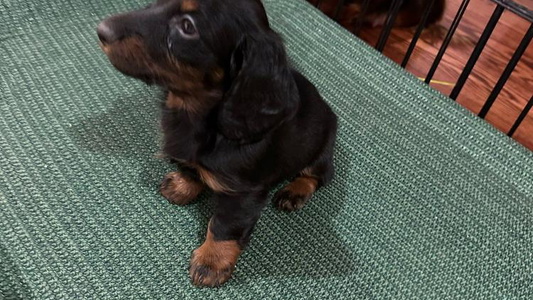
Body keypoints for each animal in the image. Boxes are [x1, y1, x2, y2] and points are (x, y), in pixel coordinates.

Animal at [97, 0, 336, 288]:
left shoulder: (243, 193)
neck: (194, 111)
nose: (101, 30)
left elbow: (224, 226)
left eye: (188, 27)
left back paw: (294, 192)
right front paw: (182, 185)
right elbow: (191, 170)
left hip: (322, 146)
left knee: (318, 176)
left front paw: (212, 261)